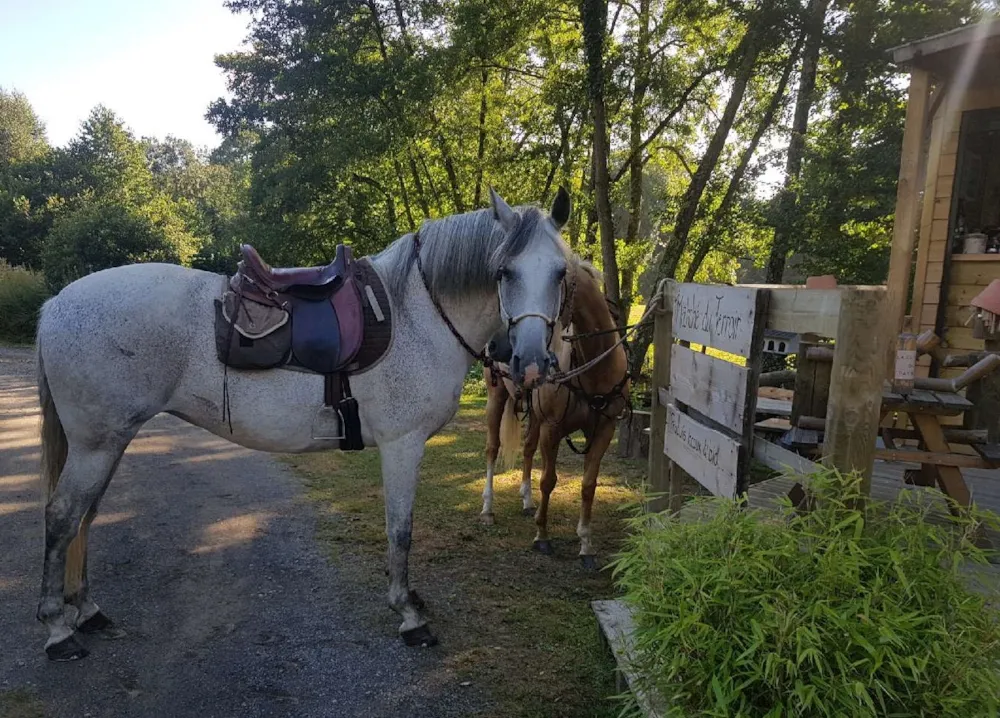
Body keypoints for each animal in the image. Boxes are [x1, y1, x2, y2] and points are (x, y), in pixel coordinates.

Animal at [35, 188, 576, 660]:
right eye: (504, 271)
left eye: (561, 273)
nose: (531, 363)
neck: (415, 313)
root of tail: (55, 304)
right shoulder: (403, 444)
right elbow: (400, 530)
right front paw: (408, 615)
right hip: (96, 445)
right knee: (62, 516)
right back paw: (59, 630)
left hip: (110, 442)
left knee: (85, 517)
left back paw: (87, 610)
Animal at [480, 258, 628, 568]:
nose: (497, 344)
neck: (594, 366)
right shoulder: (553, 428)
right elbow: (548, 480)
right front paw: (542, 536)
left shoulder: (604, 429)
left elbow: (588, 485)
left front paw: (585, 544)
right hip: (496, 397)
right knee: (492, 448)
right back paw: (487, 509)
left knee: (527, 448)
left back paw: (527, 500)